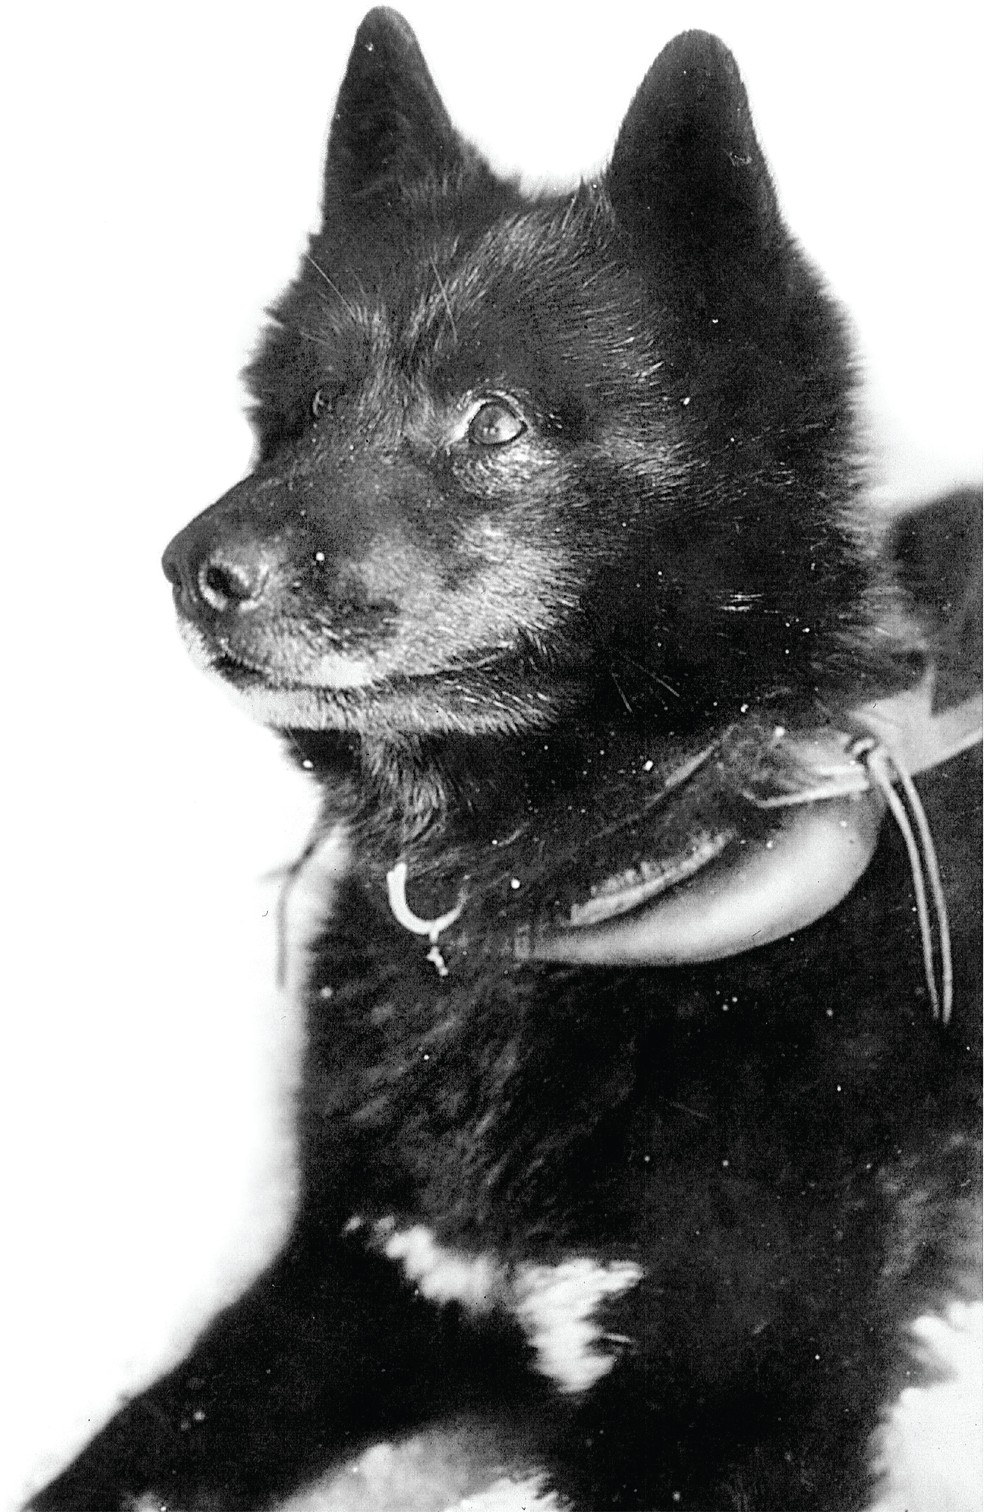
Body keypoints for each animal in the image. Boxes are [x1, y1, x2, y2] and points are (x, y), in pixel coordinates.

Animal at [32, 14, 984, 1512]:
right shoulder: (356, 1288)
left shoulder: (730, 1408)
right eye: (307, 405)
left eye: (495, 420)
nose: (193, 571)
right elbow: (137, 1453)